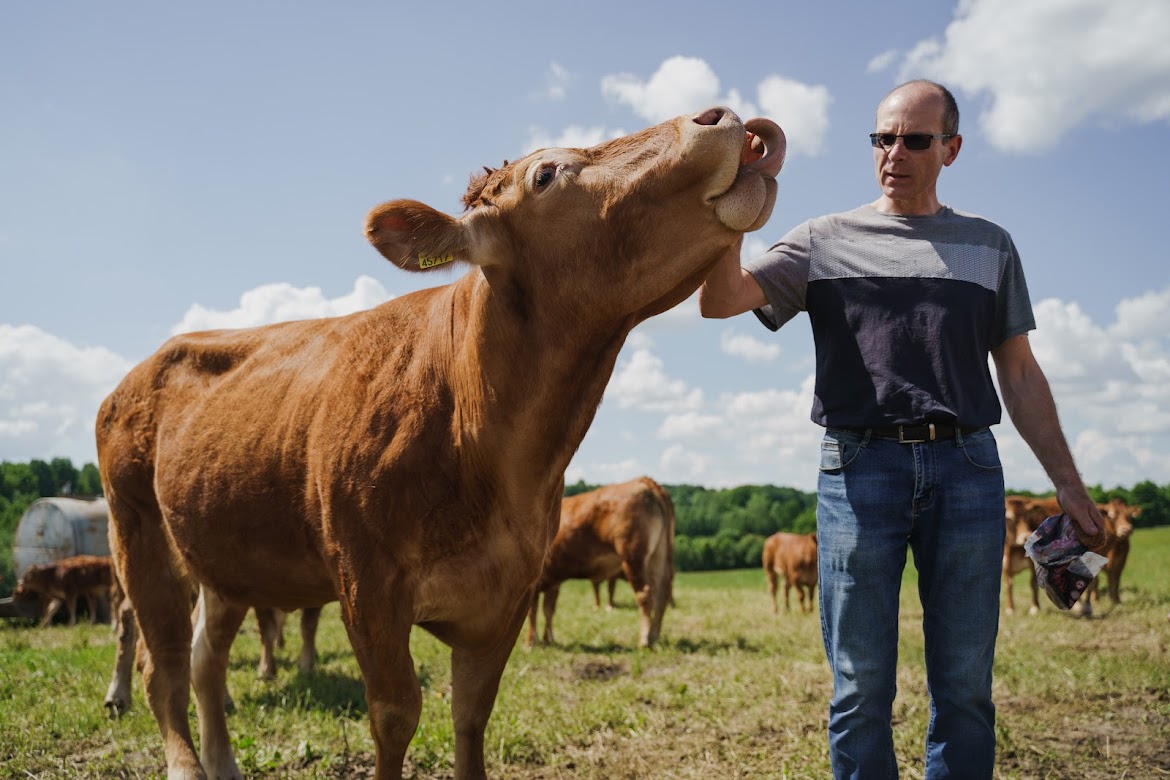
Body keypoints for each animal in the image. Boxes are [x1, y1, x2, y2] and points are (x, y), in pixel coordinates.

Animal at [526, 479, 673, 650]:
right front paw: (548, 640)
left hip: (634, 557)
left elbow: (532, 611)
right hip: (658, 557)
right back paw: (655, 636)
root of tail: (643, 481)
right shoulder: (553, 580)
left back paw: (644, 640)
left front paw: (530, 642)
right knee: (661, 595)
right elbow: (548, 610)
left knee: (645, 595)